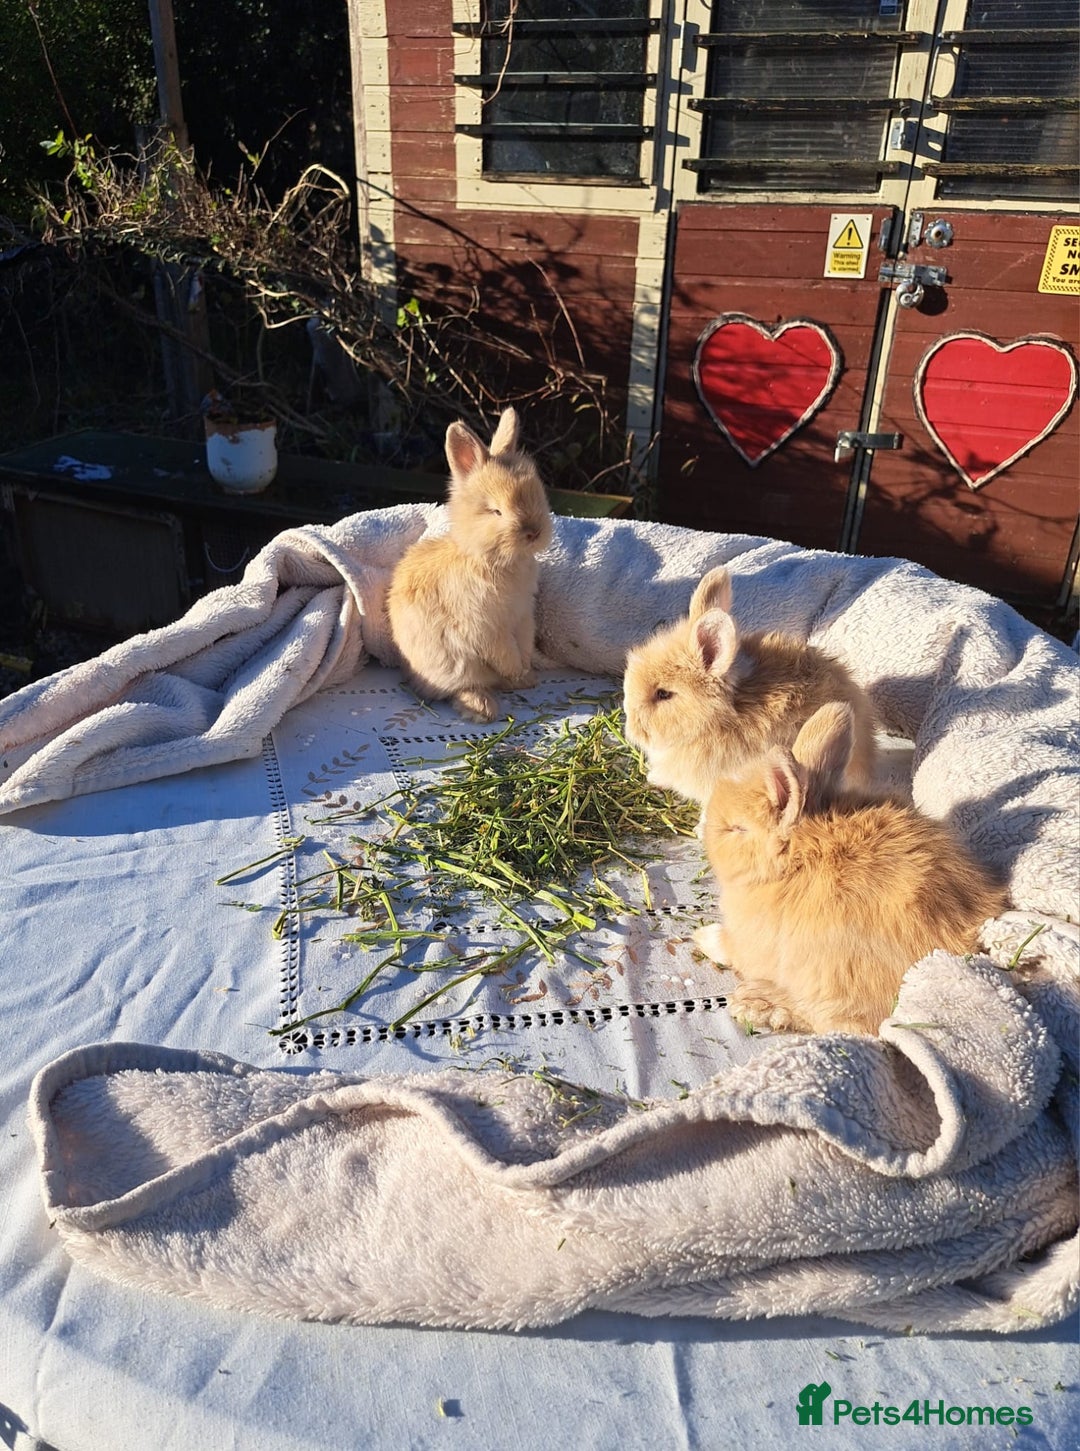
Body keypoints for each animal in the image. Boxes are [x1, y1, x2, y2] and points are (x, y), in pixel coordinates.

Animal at [386, 407, 553, 723]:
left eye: (538, 493)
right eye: (496, 511)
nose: (534, 532)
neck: (492, 560)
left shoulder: (523, 616)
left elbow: (523, 644)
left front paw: (525, 673)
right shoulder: (485, 626)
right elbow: (505, 652)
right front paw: (518, 671)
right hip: (456, 665)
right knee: (462, 688)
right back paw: (482, 707)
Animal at [696, 700, 1009, 1036]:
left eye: (736, 829)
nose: (706, 835)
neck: (797, 857)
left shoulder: (751, 942)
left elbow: (729, 946)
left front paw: (702, 937)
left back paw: (759, 1003)